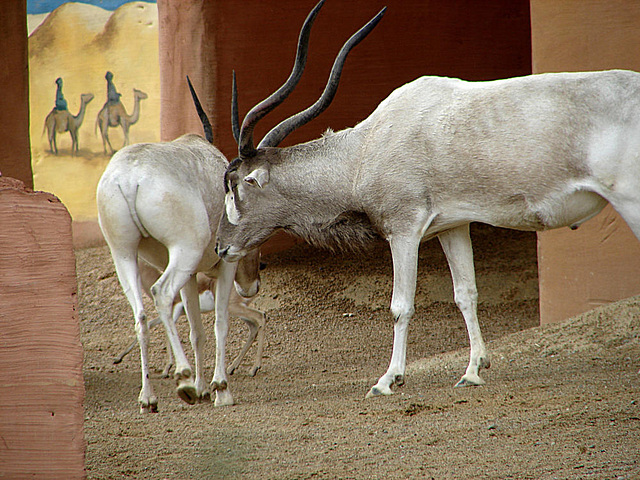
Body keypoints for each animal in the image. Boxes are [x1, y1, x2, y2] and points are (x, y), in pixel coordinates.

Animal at [214, 0, 640, 398]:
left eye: (234, 185)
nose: (220, 248)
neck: (364, 149)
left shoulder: (404, 231)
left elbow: (400, 305)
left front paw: (388, 379)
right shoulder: (453, 227)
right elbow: (466, 294)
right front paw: (473, 370)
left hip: (631, 202)